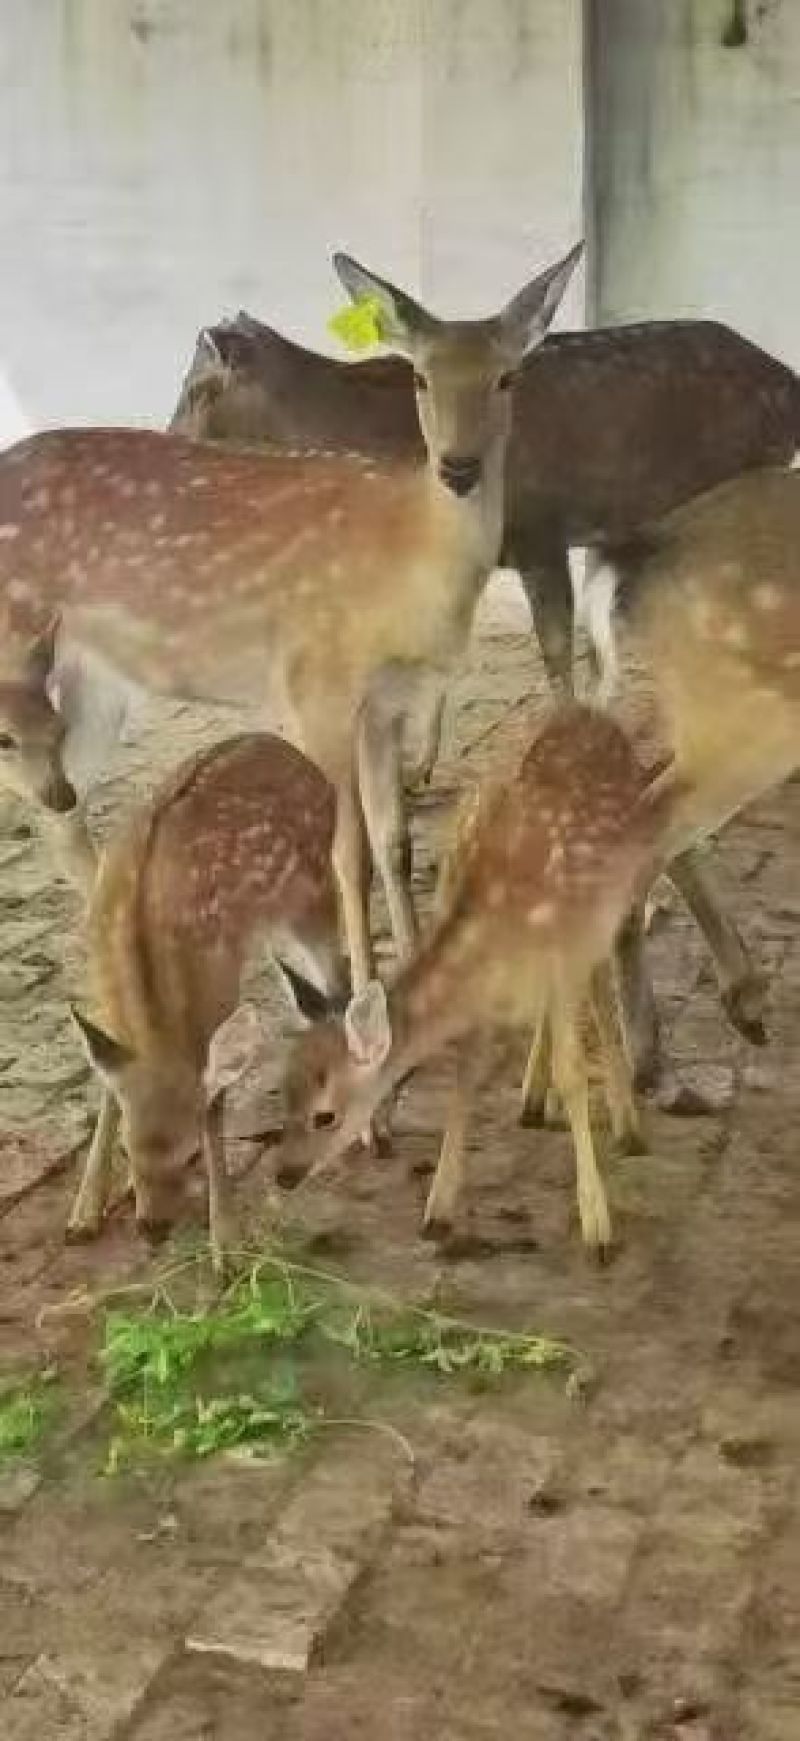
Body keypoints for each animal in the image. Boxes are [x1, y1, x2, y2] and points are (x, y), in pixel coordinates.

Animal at [0, 242, 582, 996]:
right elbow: (347, 854)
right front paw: (367, 995)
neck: (405, 562)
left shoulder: (384, 704)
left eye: (508, 376)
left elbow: (394, 841)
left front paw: (411, 964)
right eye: (420, 377)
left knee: (63, 811)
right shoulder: (315, 689)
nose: (459, 467)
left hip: (91, 678)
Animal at [68, 732, 346, 1273]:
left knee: (340, 983)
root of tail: (289, 750)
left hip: (316, 892)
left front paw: (228, 1244)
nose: (152, 1228)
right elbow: (107, 1083)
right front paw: (84, 1211)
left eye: (190, 1155)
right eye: (129, 1153)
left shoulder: (216, 991)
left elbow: (214, 1103)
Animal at [276, 705, 680, 1258]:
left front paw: (597, 1227)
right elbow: (466, 1074)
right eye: (285, 1093)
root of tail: (589, 711)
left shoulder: (563, 956)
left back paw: (624, 1124)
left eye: (325, 1115)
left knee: (606, 977)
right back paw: (535, 1102)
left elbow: (574, 1072)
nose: (282, 1174)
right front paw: (438, 1211)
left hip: (619, 896)